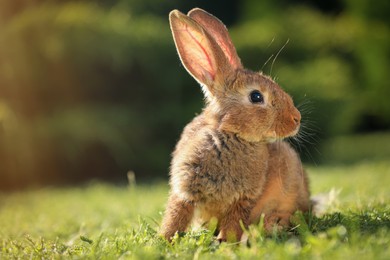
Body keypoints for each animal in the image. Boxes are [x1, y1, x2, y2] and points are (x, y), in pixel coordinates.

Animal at [159, 8, 310, 244]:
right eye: (256, 96)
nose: (296, 118)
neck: (231, 135)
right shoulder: (184, 189)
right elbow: (176, 215)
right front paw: (164, 238)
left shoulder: (244, 197)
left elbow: (234, 220)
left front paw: (224, 241)